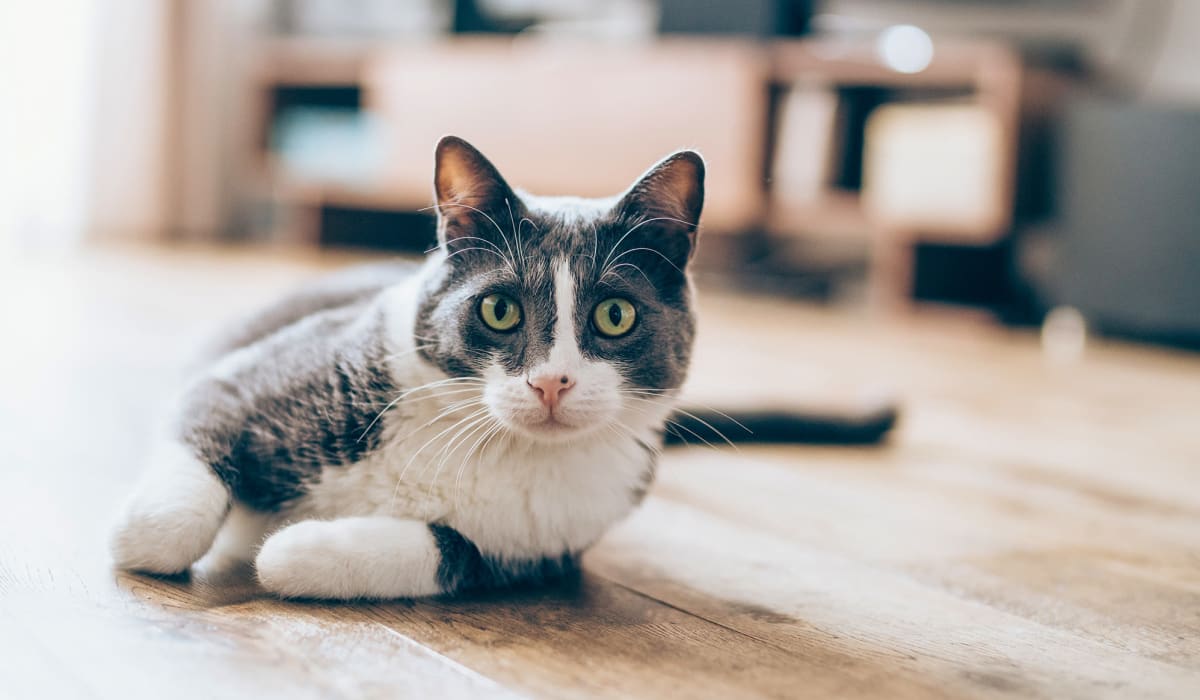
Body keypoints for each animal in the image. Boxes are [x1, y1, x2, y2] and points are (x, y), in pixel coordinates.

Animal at [112, 138, 897, 602]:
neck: (489, 441)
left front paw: (299, 548)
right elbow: (179, 485)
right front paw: (140, 535)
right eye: (498, 309)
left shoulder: (551, 542)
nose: (552, 381)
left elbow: (451, 551)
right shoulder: (247, 379)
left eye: (615, 316)